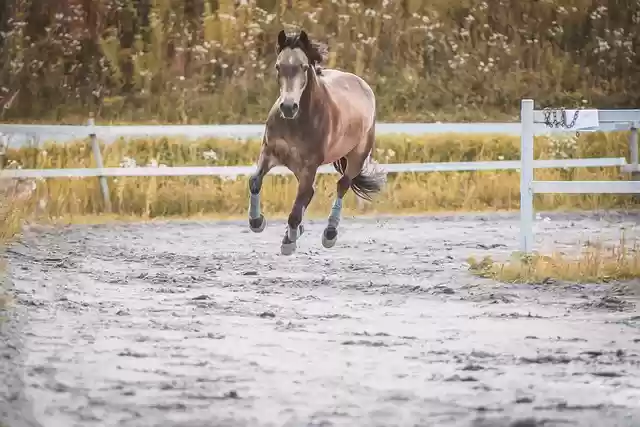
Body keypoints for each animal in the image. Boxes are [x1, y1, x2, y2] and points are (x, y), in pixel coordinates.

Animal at [247, 29, 386, 255]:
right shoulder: (269, 153)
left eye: (304, 67)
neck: (295, 122)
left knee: (341, 185)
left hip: (357, 156)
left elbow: (297, 208)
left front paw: (289, 242)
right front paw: (257, 222)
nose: (288, 107)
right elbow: (255, 181)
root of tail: (362, 85)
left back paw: (329, 234)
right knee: (310, 192)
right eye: (278, 66)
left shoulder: (310, 166)